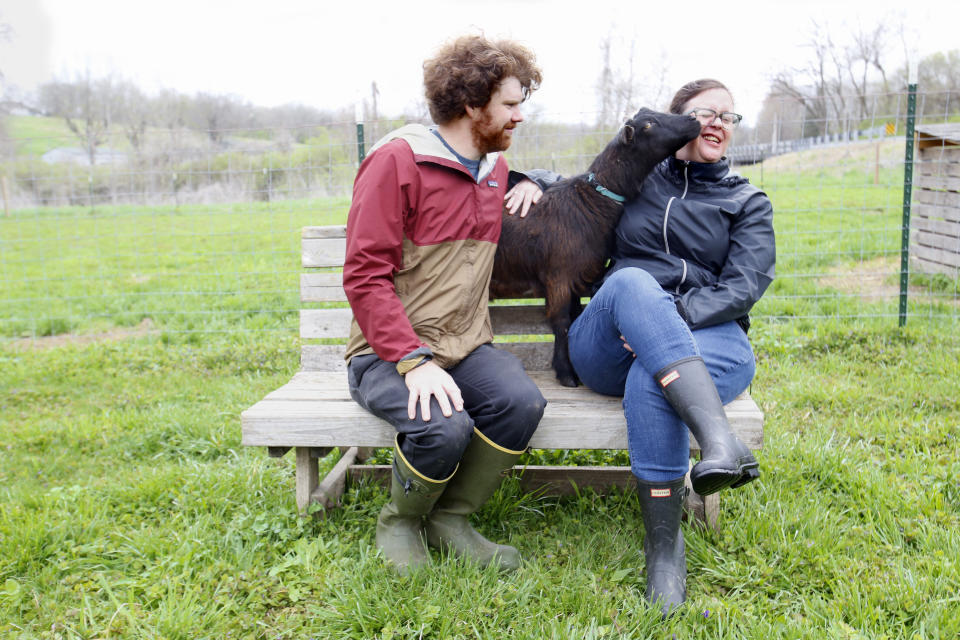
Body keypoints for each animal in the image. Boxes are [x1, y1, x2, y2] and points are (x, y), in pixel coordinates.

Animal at [492, 107, 700, 384]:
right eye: (648, 124)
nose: (694, 119)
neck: (593, 199)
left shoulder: (575, 277)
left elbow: (574, 316)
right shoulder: (558, 275)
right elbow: (561, 322)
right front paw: (566, 374)